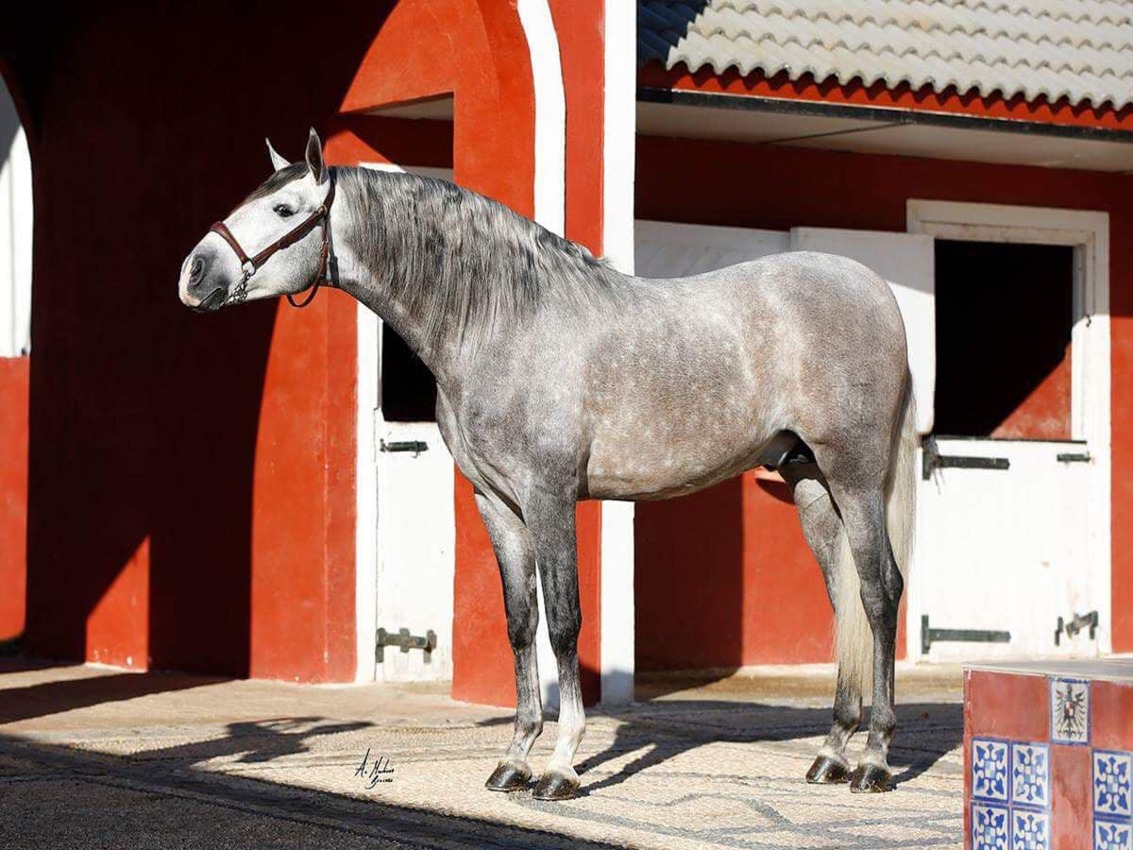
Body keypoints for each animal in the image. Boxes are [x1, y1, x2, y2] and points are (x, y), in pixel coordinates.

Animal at [179, 129, 919, 802]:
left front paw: (561, 766)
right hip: (810, 484)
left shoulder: (549, 496)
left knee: (880, 592)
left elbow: (563, 622)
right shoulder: (496, 503)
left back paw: (875, 760)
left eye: (284, 209)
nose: (193, 272)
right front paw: (514, 760)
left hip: (853, 477)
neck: (500, 322)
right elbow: (519, 624)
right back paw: (831, 753)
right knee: (846, 599)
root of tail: (875, 292)